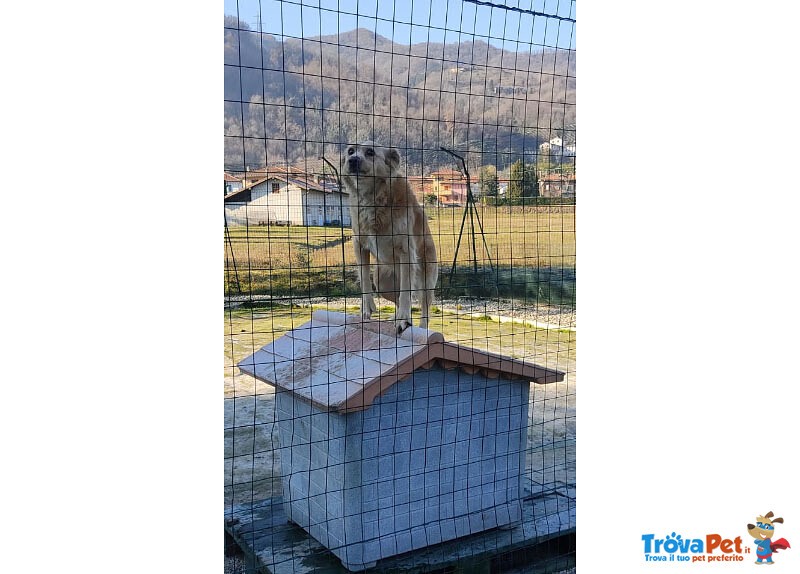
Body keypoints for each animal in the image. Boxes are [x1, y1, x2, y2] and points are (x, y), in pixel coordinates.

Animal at [340, 140, 438, 336]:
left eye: (370, 152)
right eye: (350, 151)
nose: (353, 161)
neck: (372, 198)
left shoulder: (406, 251)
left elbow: (407, 292)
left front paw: (404, 320)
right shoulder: (359, 244)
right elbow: (364, 278)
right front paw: (367, 308)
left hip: (425, 279)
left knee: (423, 307)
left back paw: (420, 327)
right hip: (382, 281)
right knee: (397, 297)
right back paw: (395, 316)